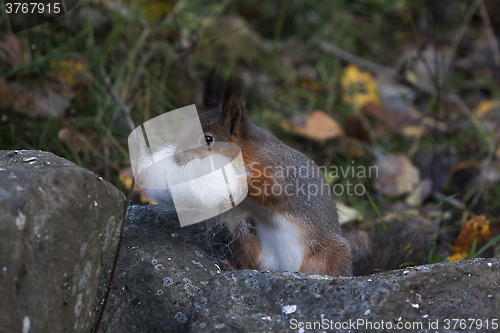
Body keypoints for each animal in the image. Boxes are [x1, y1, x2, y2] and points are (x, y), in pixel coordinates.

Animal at [174, 67, 354, 274]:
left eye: (208, 139)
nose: (176, 158)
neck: (247, 154)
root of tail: (285, 268)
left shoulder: (279, 171)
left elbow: (272, 192)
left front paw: (239, 182)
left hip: (334, 254)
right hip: (247, 237)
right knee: (252, 264)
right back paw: (233, 266)